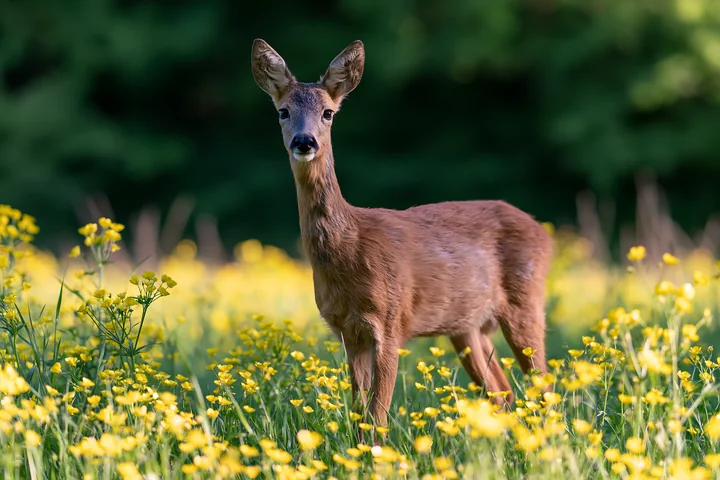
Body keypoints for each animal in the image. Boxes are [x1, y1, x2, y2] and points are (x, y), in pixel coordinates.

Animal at [250, 39, 553, 430]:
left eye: (328, 113)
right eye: (283, 111)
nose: (305, 142)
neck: (349, 249)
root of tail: (542, 230)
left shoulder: (390, 323)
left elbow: (376, 419)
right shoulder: (347, 332)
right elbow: (359, 417)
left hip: (526, 300)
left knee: (544, 388)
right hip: (467, 326)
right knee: (502, 392)